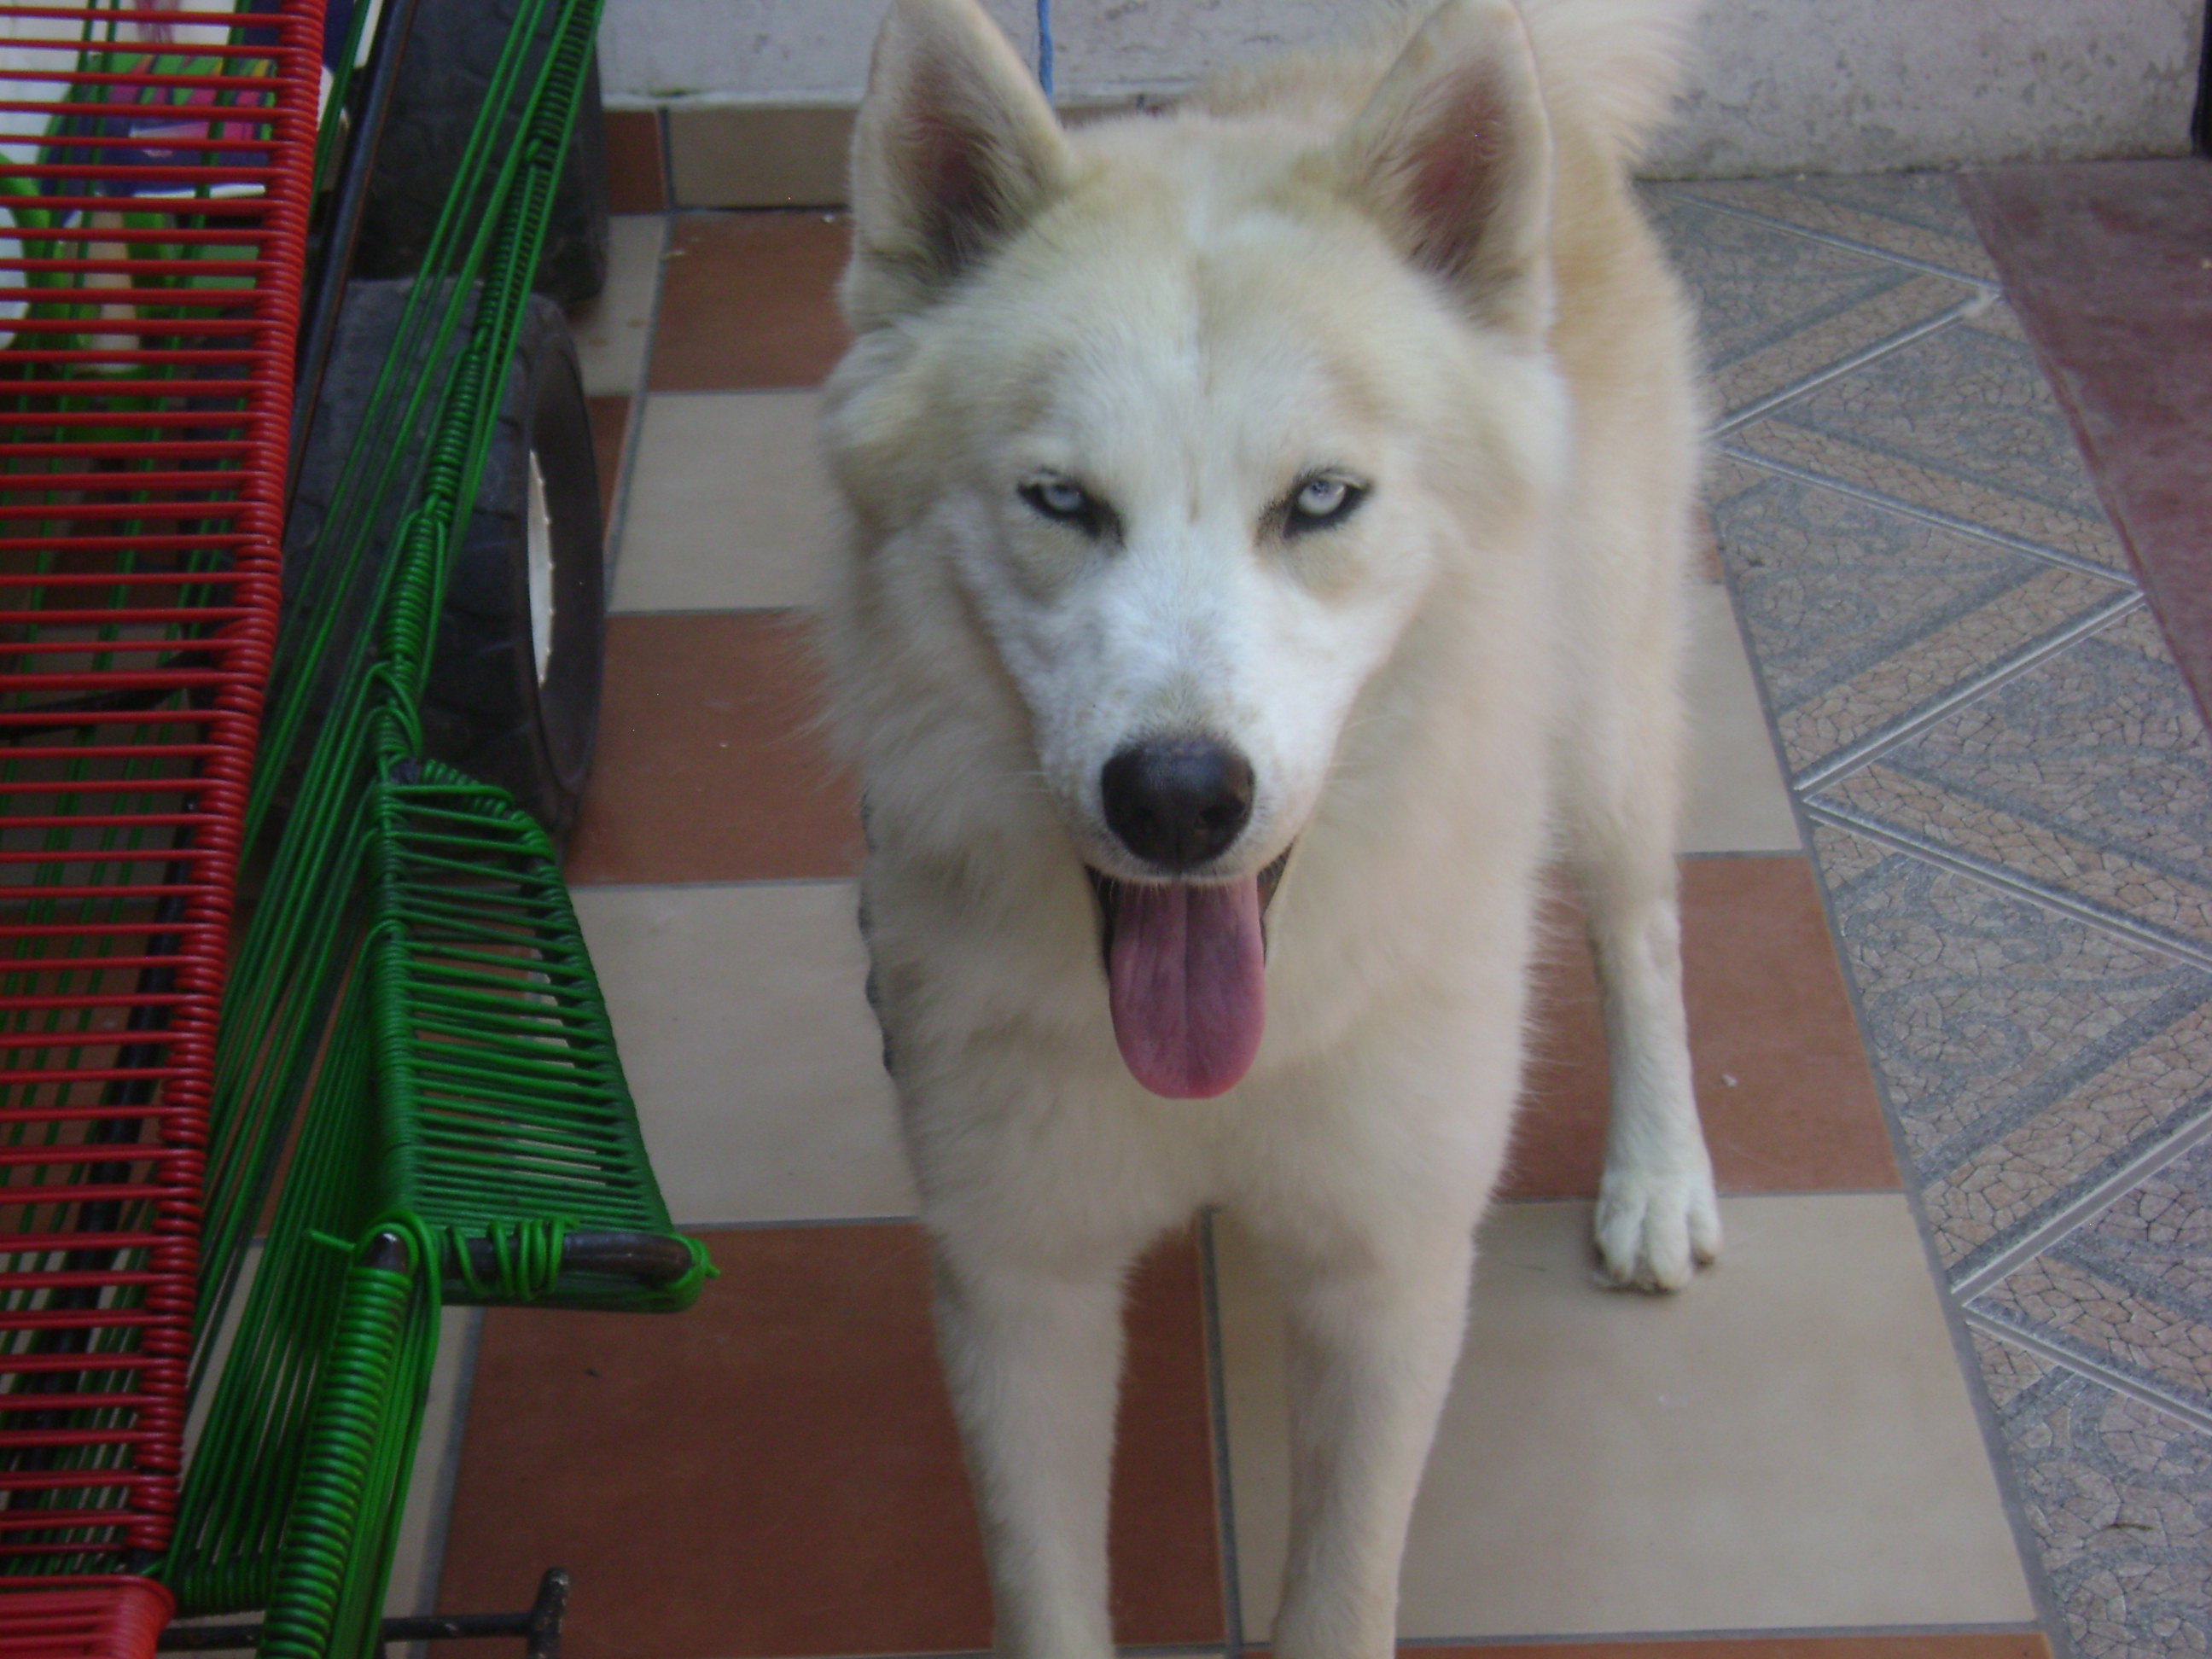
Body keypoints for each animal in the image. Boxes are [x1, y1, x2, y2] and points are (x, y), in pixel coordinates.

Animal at [823, 3, 1716, 1654]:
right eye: (1060, 499)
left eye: (1319, 499)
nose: (1178, 796)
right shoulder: (1016, 1280)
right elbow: (1046, 1595)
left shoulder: (1391, 1270)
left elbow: (1341, 1590)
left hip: (1609, 732)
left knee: (1642, 932)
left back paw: (1657, 1176)